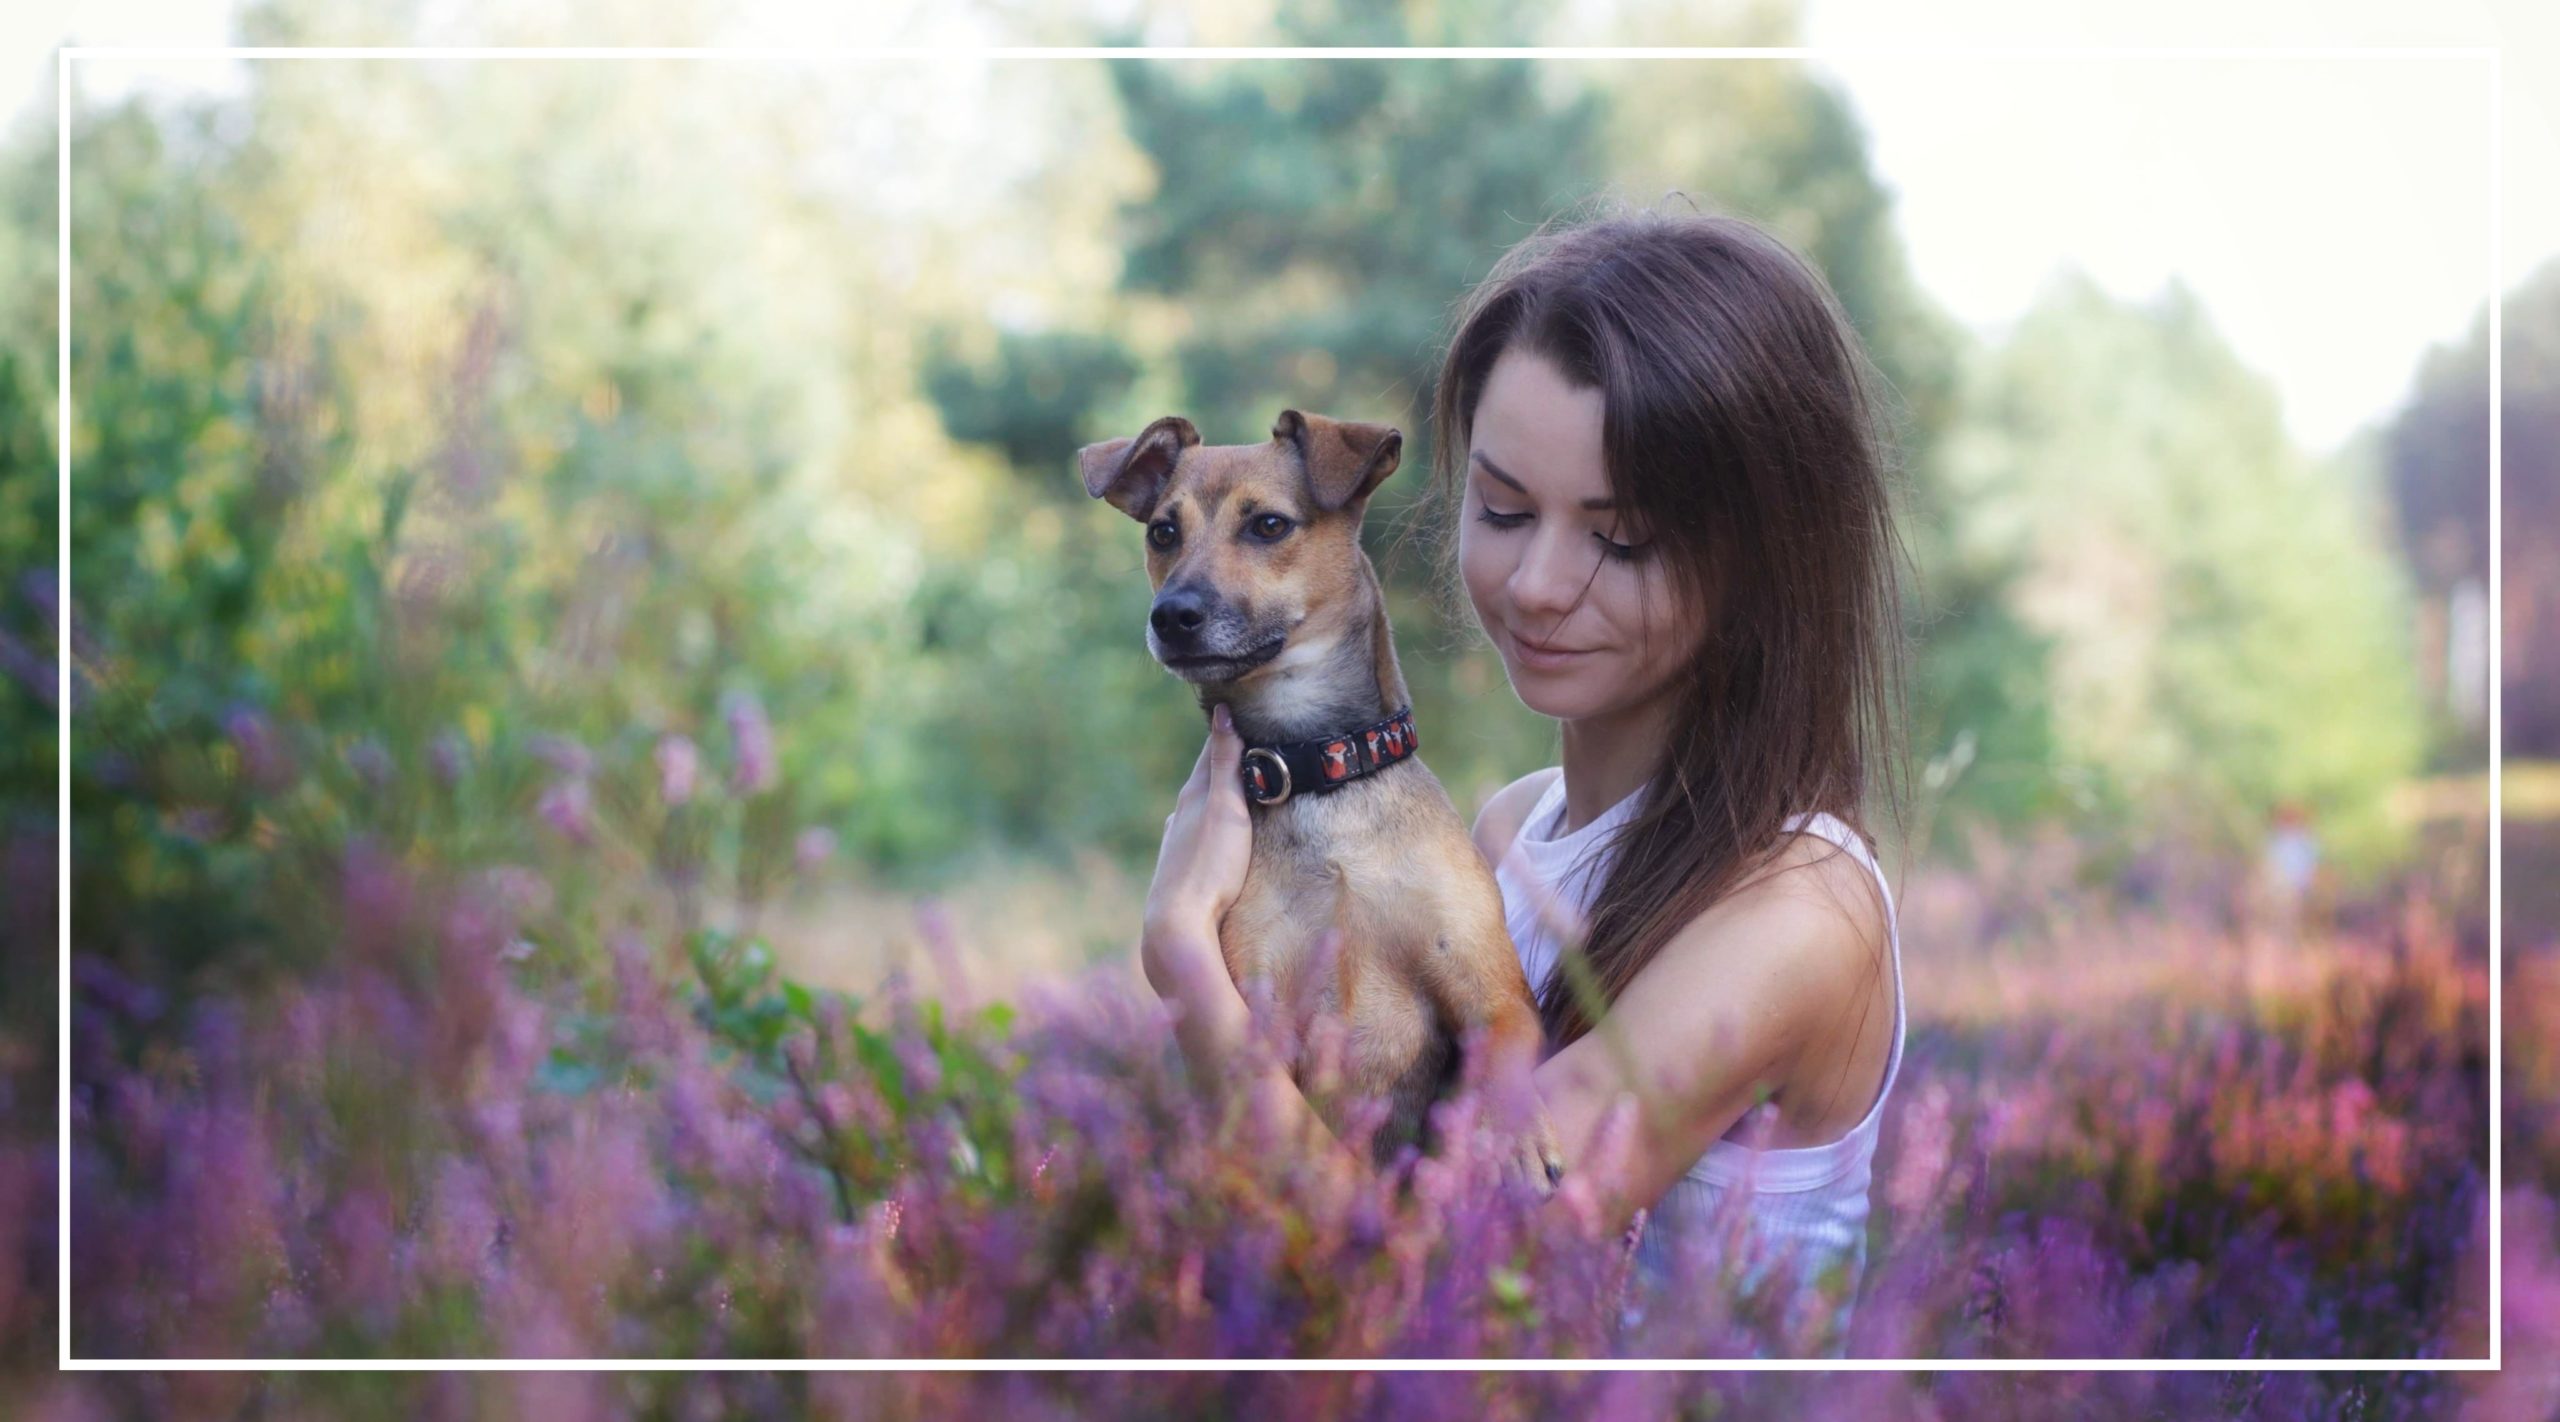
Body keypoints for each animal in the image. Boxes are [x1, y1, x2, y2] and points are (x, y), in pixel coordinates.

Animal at [1075, 407, 1556, 1183]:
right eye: (1163, 532)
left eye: (1269, 525)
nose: (1171, 615)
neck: (1319, 772)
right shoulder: (1262, 1005)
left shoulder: (1491, 983)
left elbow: (1505, 1050)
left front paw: (1517, 1138)